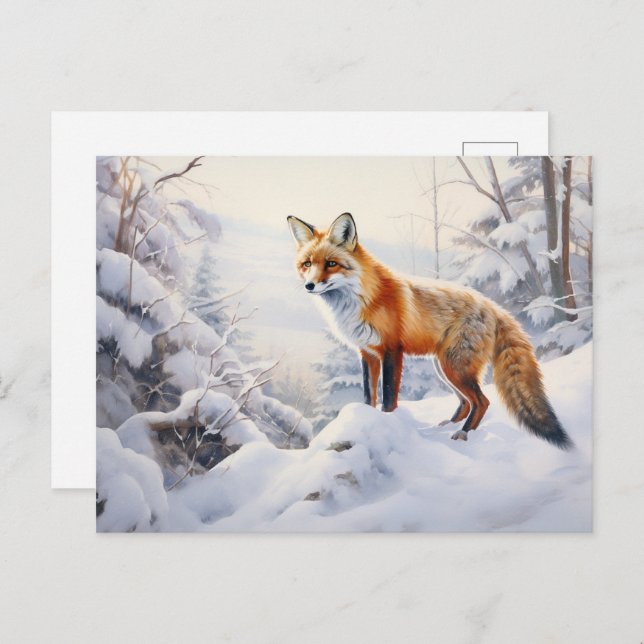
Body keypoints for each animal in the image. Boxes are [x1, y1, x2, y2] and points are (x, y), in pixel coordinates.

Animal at [287, 212, 573, 450]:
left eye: (331, 263)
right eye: (307, 264)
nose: (310, 286)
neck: (361, 299)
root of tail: (492, 306)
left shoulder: (392, 350)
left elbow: (388, 397)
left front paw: (388, 423)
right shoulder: (367, 353)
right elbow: (369, 395)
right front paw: (365, 421)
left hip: (454, 367)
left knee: (482, 401)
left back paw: (464, 433)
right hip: (445, 367)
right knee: (466, 401)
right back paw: (449, 424)